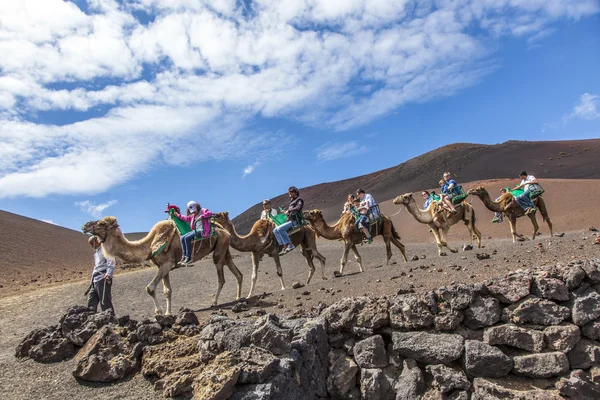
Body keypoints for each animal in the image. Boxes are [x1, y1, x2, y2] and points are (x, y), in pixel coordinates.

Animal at [81, 216, 243, 316]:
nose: (85, 225)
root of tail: (224, 229)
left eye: (102, 223)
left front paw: (159, 312)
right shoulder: (164, 267)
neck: (149, 245)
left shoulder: (167, 264)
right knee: (238, 273)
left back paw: (214, 302)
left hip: (219, 250)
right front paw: (168, 312)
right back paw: (238, 298)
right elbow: (167, 291)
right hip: (224, 249)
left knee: (221, 277)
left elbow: (150, 288)